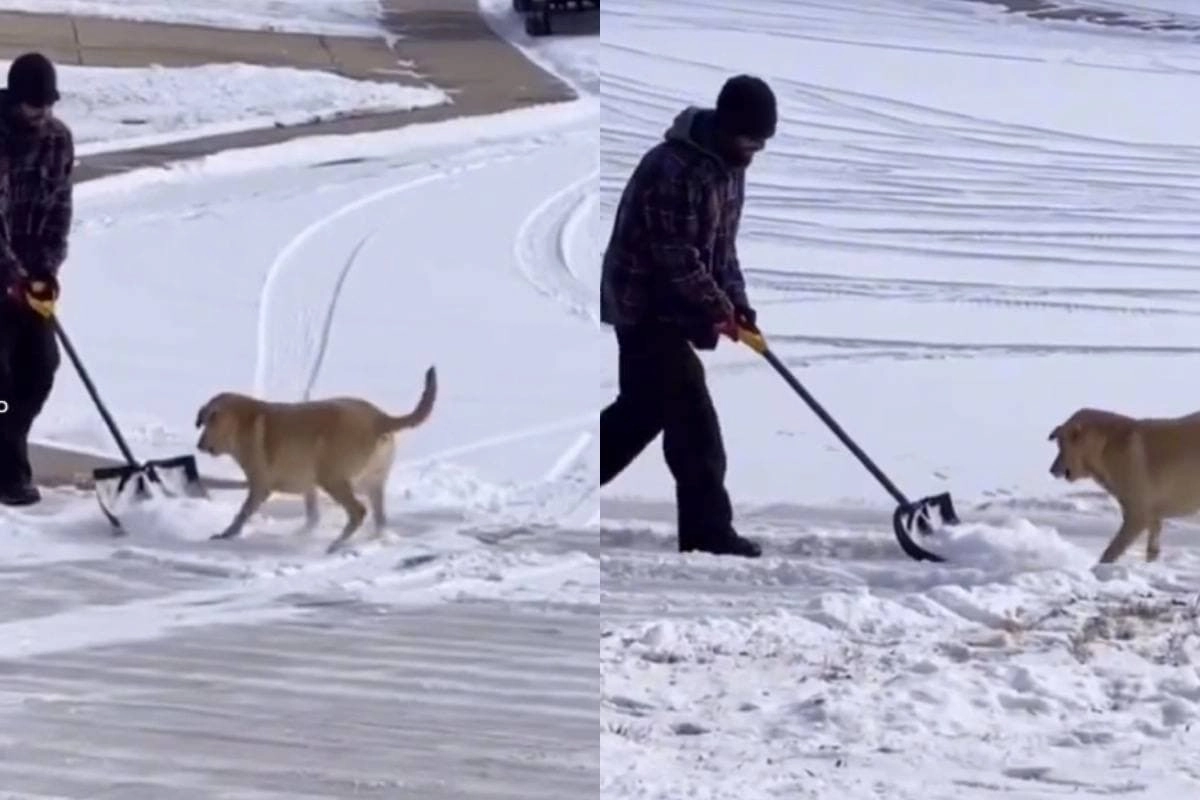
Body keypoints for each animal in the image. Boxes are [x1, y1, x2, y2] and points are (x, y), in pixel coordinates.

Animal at [194, 367, 439, 554]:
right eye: (203, 422)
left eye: (210, 422)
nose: (199, 445)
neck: (241, 422)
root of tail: (380, 418)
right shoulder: (308, 485)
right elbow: (312, 515)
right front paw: (301, 533)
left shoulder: (260, 485)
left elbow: (242, 513)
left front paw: (226, 534)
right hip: (371, 482)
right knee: (379, 519)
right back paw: (375, 540)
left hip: (334, 479)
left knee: (358, 511)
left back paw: (336, 545)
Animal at [1046, 407, 1200, 563]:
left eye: (1062, 447)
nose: (1051, 470)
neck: (1105, 446)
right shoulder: (1151, 516)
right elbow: (1152, 546)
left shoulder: (1138, 515)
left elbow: (1111, 551)